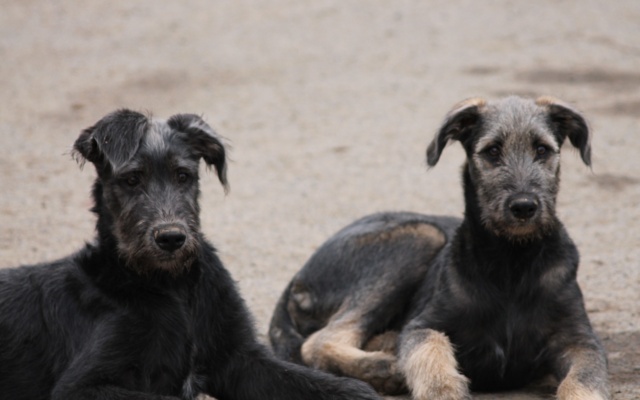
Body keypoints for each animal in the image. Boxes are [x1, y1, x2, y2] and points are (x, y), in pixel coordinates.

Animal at [0, 109, 380, 400]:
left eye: (183, 175)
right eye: (132, 180)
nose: (171, 238)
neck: (169, 285)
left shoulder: (239, 359)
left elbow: (338, 386)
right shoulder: (82, 386)